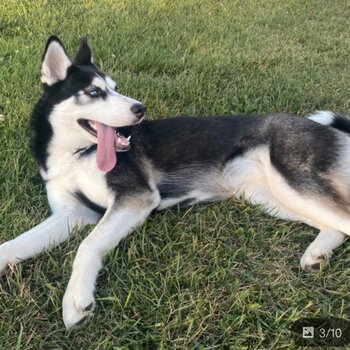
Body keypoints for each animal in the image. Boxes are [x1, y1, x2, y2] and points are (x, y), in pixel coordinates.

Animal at [0, 37, 350, 326]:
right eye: (95, 92)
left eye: (115, 87)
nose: (140, 109)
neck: (75, 155)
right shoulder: (72, 213)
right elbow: (15, 244)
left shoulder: (135, 198)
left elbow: (87, 246)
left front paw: (76, 299)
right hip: (268, 194)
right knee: (335, 226)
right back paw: (317, 255)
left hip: (291, 181)